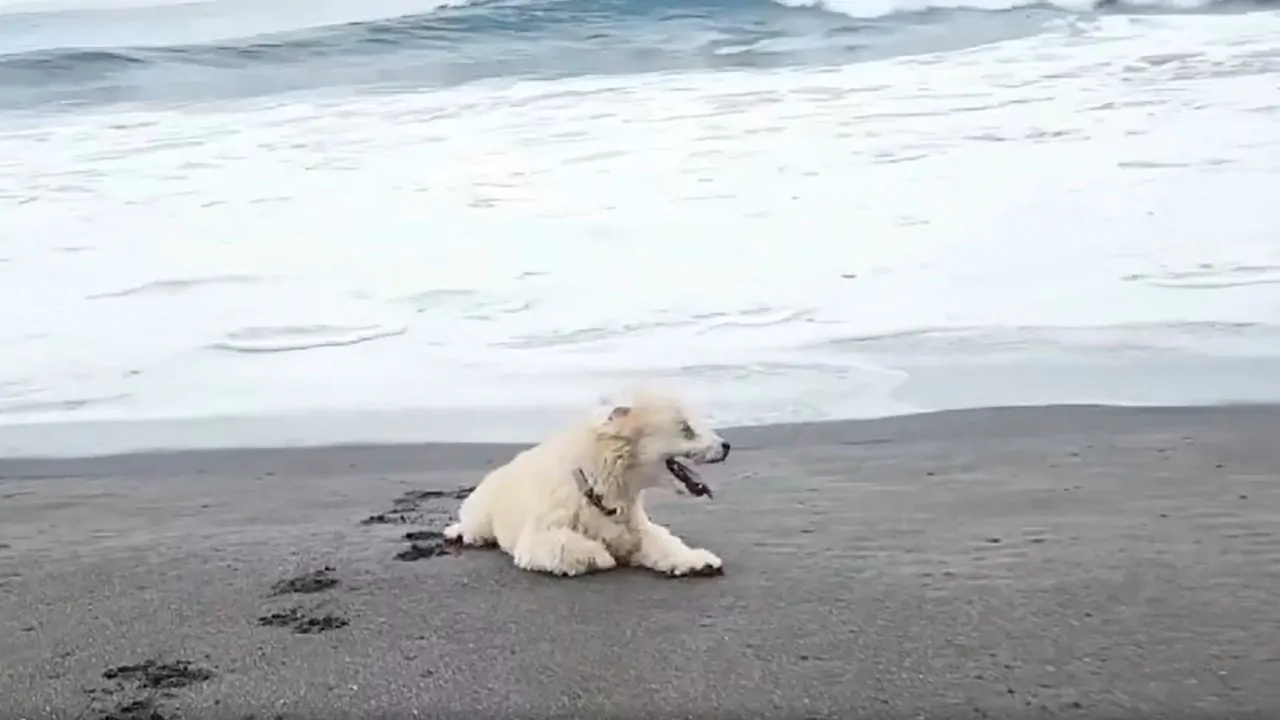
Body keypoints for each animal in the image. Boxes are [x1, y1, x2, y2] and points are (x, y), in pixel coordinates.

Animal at [448, 389, 732, 573]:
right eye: (686, 429)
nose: (727, 446)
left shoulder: (636, 526)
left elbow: (663, 542)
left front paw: (697, 560)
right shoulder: (540, 535)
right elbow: (566, 545)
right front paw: (602, 555)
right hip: (482, 509)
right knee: (473, 524)